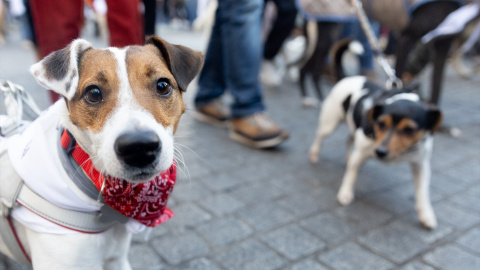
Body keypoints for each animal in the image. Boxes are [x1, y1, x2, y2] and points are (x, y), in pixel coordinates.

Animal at [310, 76, 440, 230]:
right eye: (381, 123)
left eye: (409, 129)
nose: (380, 152)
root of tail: (350, 77)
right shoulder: (361, 152)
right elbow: (351, 174)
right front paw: (345, 193)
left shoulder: (420, 164)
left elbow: (422, 191)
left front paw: (426, 215)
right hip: (330, 123)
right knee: (319, 136)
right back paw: (314, 154)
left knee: (349, 140)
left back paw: (347, 158)